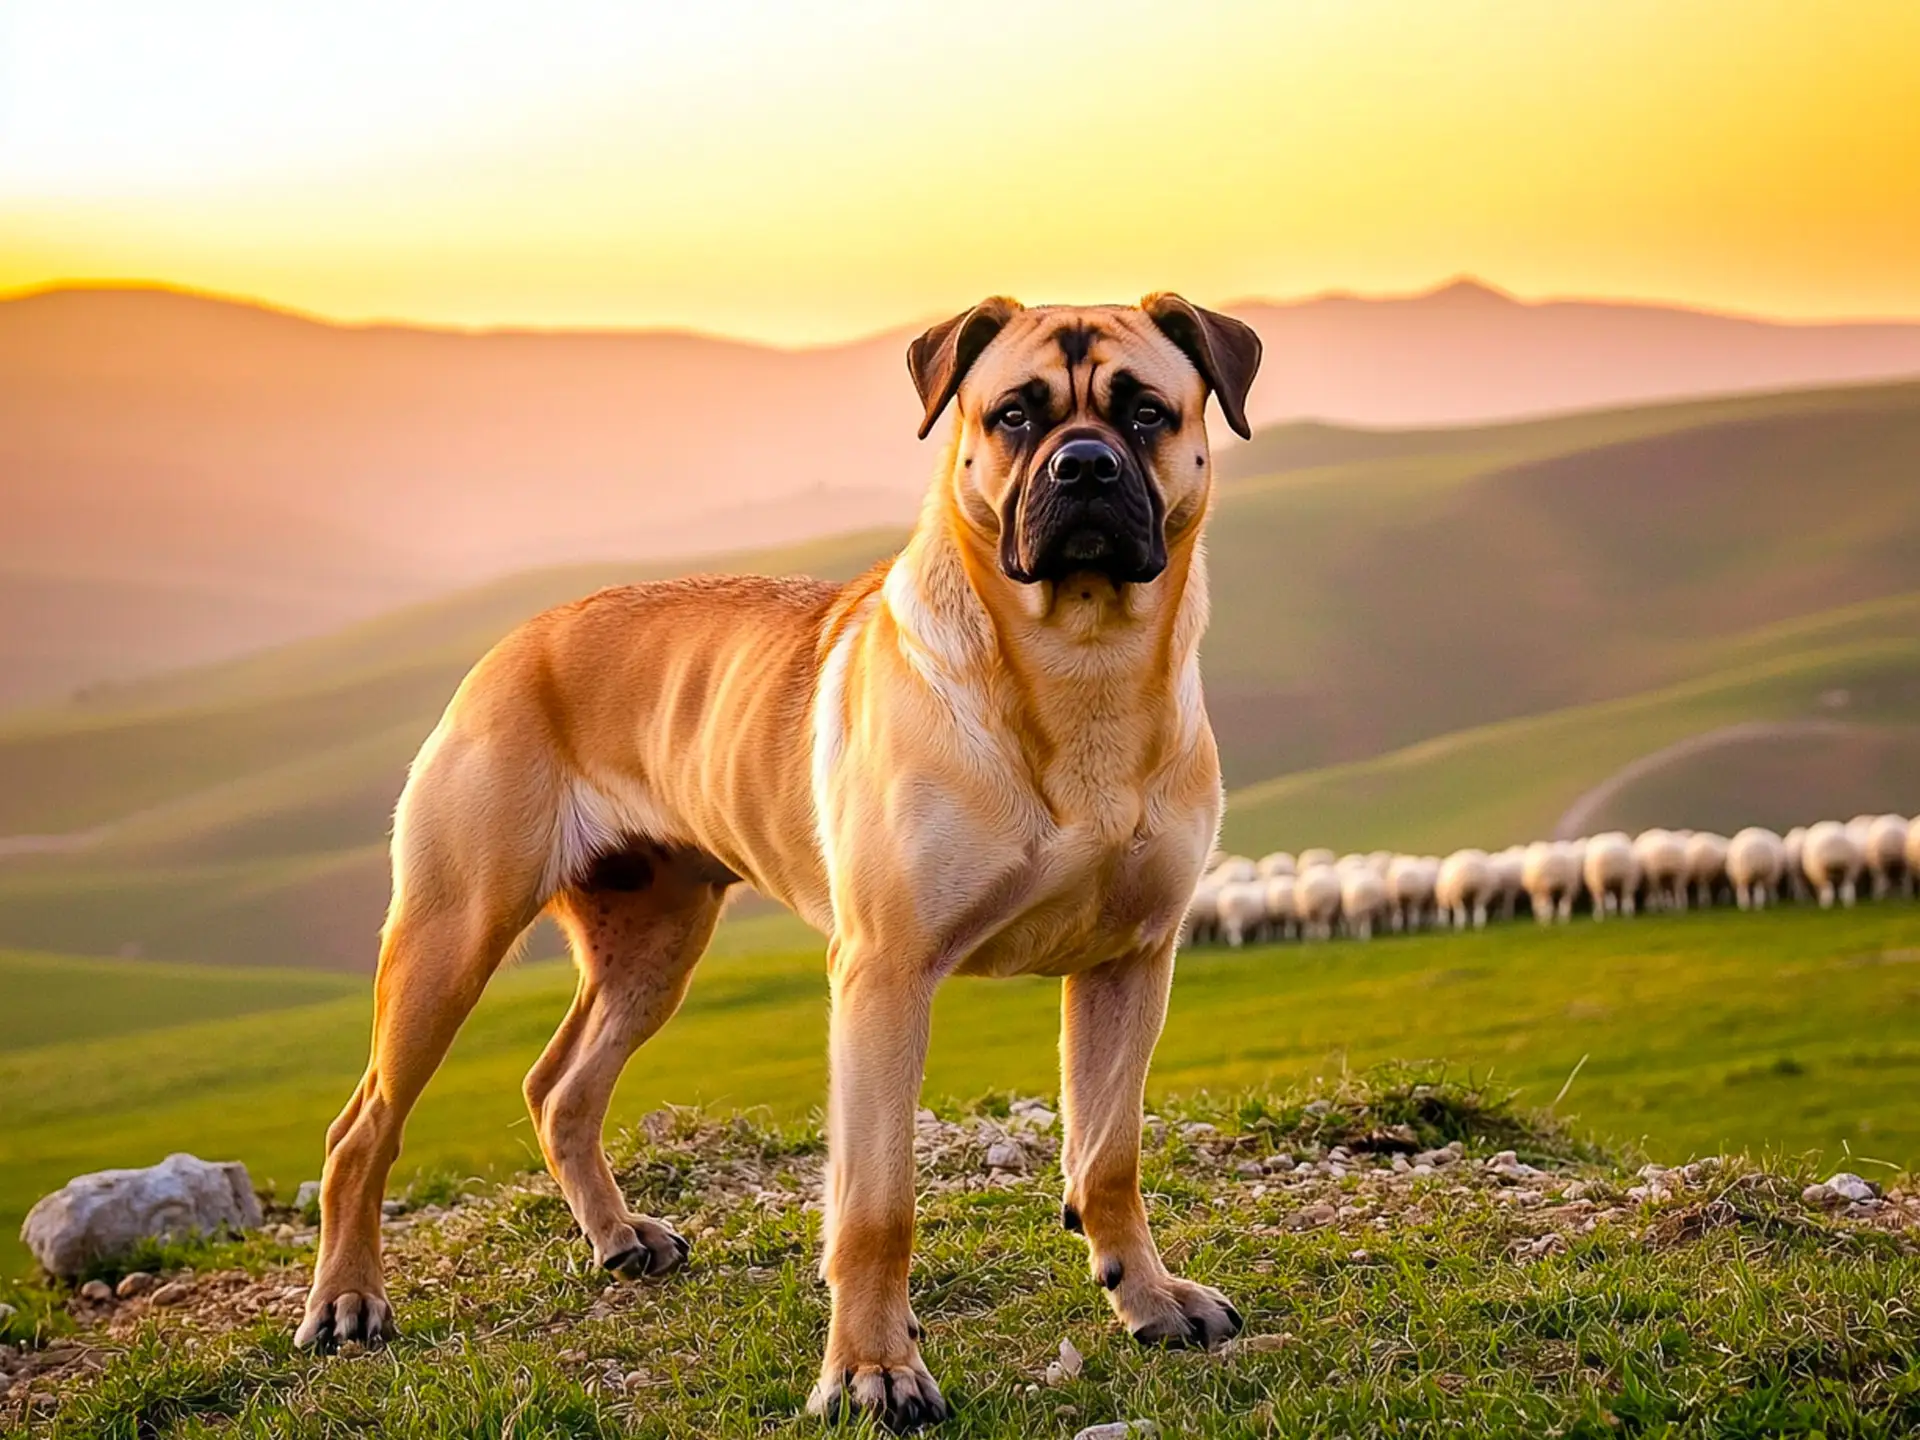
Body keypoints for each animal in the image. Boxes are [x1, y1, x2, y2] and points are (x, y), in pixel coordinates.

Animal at [295, 293, 1259, 1436]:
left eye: (1146, 410)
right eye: (1015, 414)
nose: (1082, 468)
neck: (1081, 669)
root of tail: (510, 643)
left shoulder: (1130, 961)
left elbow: (1109, 1158)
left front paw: (1148, 1300)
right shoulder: (885, 974)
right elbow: (877, 1206)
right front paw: (873, 1372)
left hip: (652, 948)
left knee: (558, 1086)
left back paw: (618, 1238)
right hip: (451, 936)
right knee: (361, 1129)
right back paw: (348, 1302)